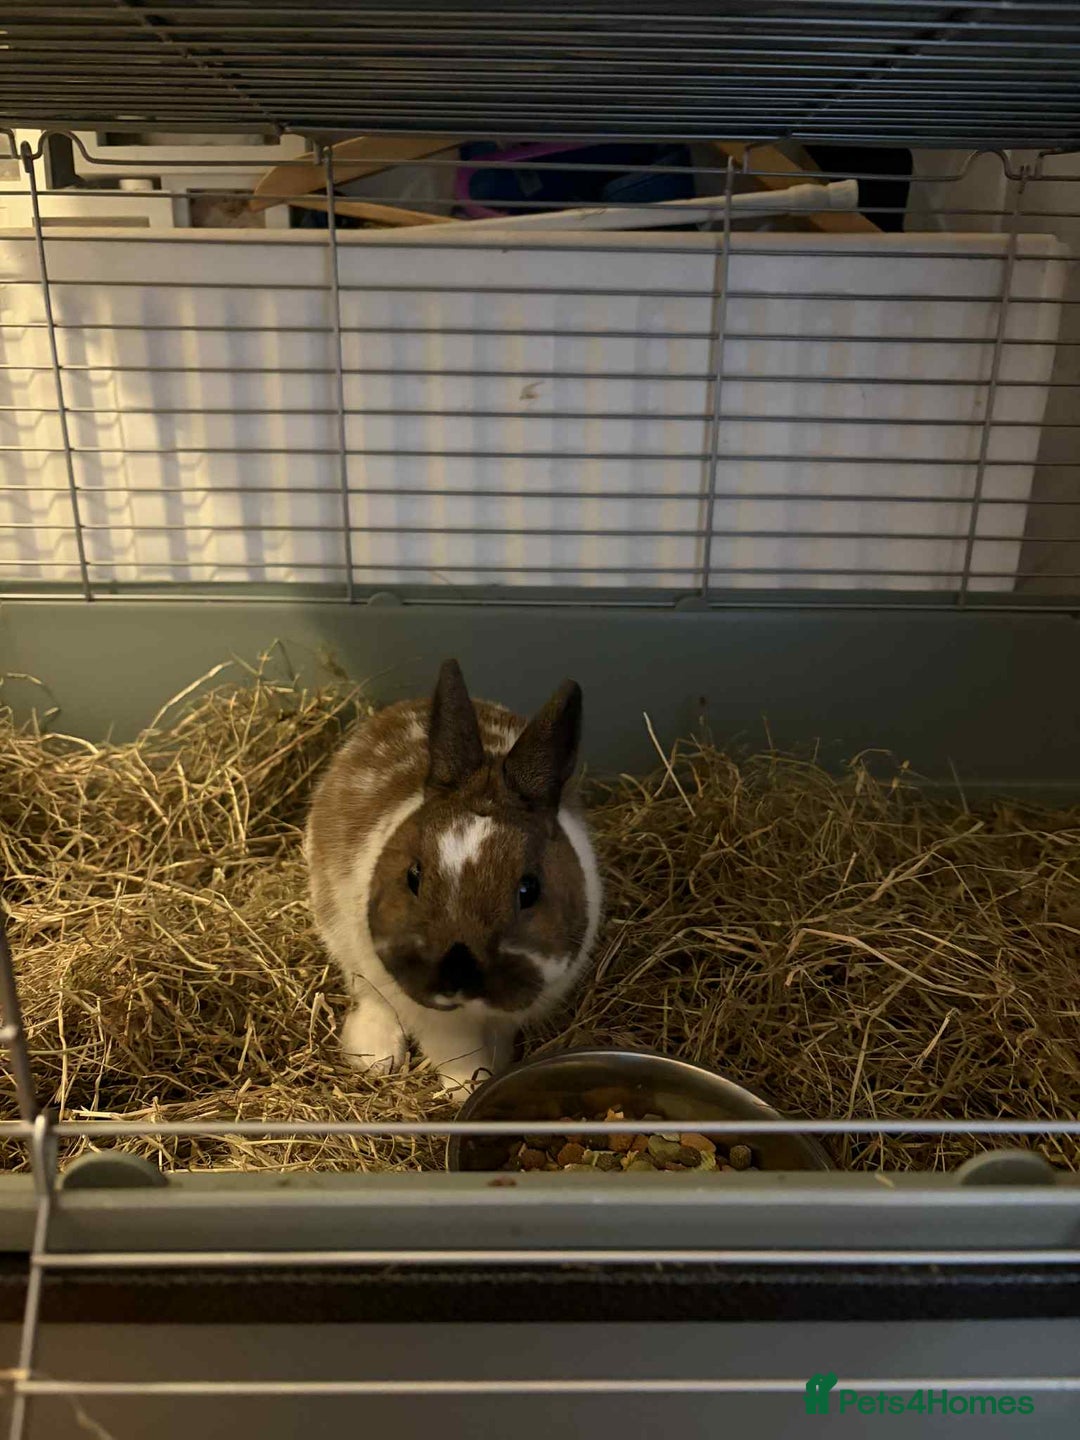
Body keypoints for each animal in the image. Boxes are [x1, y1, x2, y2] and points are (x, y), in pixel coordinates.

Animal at [304, 659, 602, 1095]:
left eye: (529, 889)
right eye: (413, 876)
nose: (457, 976)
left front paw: (495, 1069)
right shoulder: (436, 1020)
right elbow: (456, 1054)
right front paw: (465, 1088)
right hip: (342, 937)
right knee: (370, 995)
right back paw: (374, 1057)